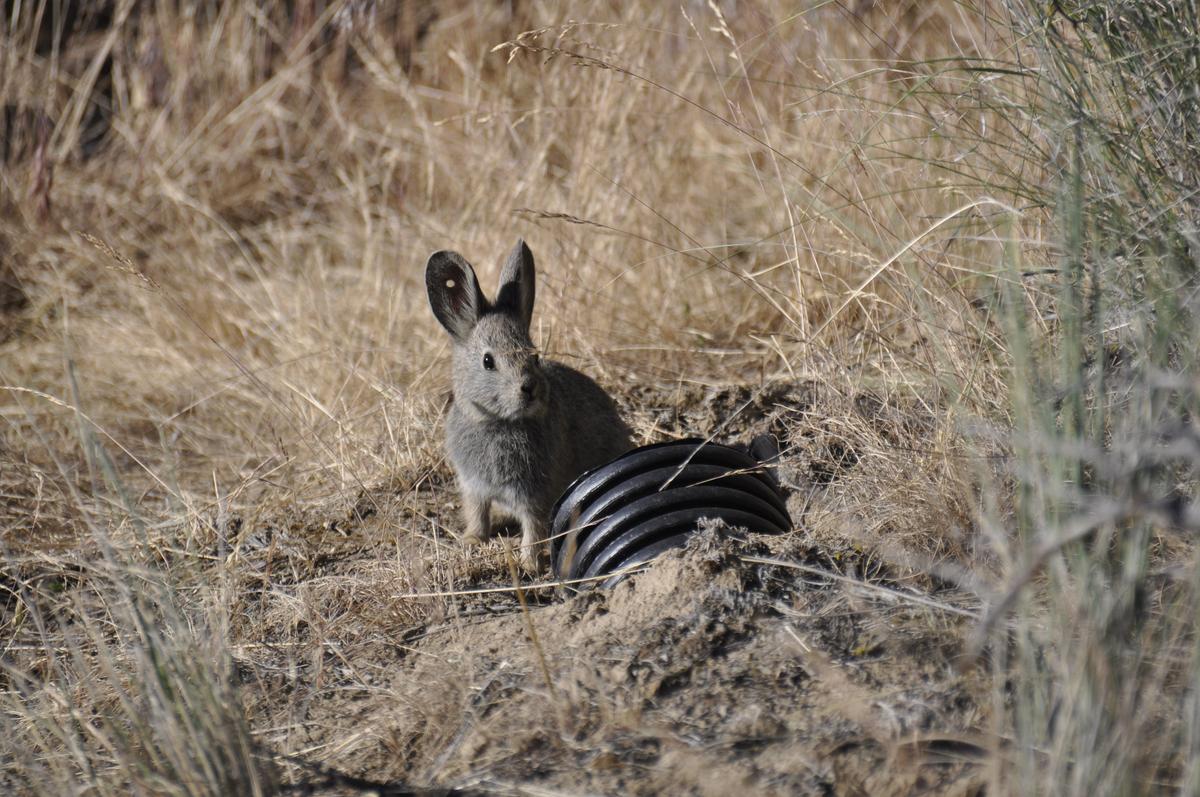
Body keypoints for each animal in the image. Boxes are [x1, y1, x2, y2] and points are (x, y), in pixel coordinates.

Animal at [425, 239, 633, 572]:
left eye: (534, 356)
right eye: (488, 361)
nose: (530, 389)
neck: (498, 423)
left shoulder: (534, 494)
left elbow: (533, 529)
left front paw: (529, 564)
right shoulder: (473, 487)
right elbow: (477, 514)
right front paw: (471, 540)